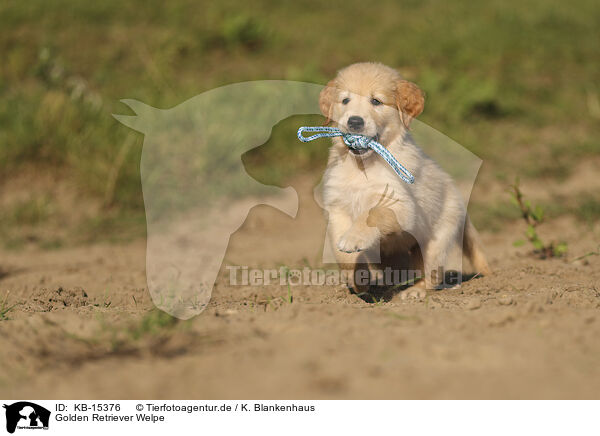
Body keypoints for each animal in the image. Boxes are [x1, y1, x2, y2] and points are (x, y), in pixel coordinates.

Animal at [322, 62, 490, 292]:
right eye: (345, 100)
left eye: (376, 101)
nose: (354, 122)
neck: (362, 166)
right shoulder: (337, 207)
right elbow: (342, 253)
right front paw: (357, 281)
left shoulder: (401, 205)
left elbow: (374, 213)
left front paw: (354, 238)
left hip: (436, 237)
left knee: (429, 273)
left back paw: (415, 292)